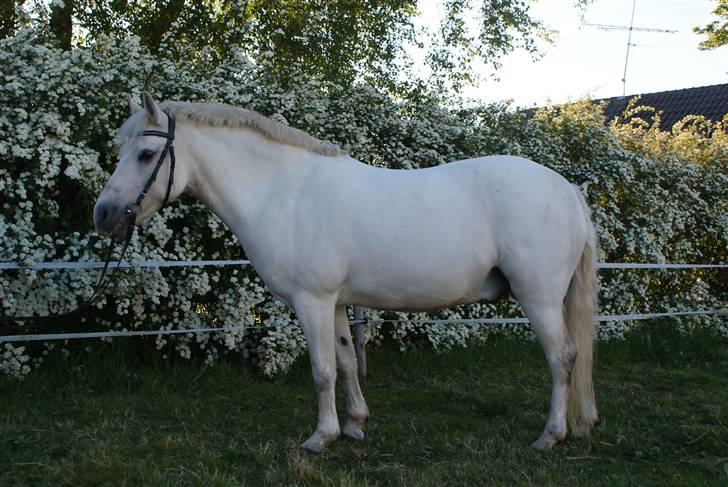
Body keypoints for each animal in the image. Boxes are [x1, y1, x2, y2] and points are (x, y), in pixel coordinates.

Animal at [94, 92, 600, 452]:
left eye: (144, 154)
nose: (103, 215)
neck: (282, 191)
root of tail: (564, 188)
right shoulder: (334, 303)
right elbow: (345, 362)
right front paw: (355, 426)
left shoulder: (311, 302)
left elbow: (321, 371)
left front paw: (322, 437)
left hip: (539, 298)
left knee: (563, 358)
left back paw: (550, 435)